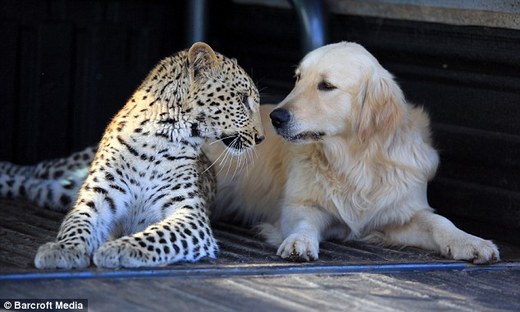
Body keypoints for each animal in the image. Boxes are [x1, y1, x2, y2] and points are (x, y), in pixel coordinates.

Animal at [1, 42, 264, 270]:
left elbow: (159, 235)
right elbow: (78, 222)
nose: (260, 137)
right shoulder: (97, 197)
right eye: (243, 100)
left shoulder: (190, 216)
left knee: (30, 185)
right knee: (34, 170)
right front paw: (63, 248)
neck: (160, 139)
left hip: (54, 193)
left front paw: (117, 249)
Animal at [206, 40, 500, 262]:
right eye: (298, 78)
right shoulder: (301, 204)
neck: (355, 161)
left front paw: (471, 242)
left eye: (326, 85)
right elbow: (303, 223)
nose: (276, 118)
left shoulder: (401, 212)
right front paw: (299, 242)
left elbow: (439, 222)